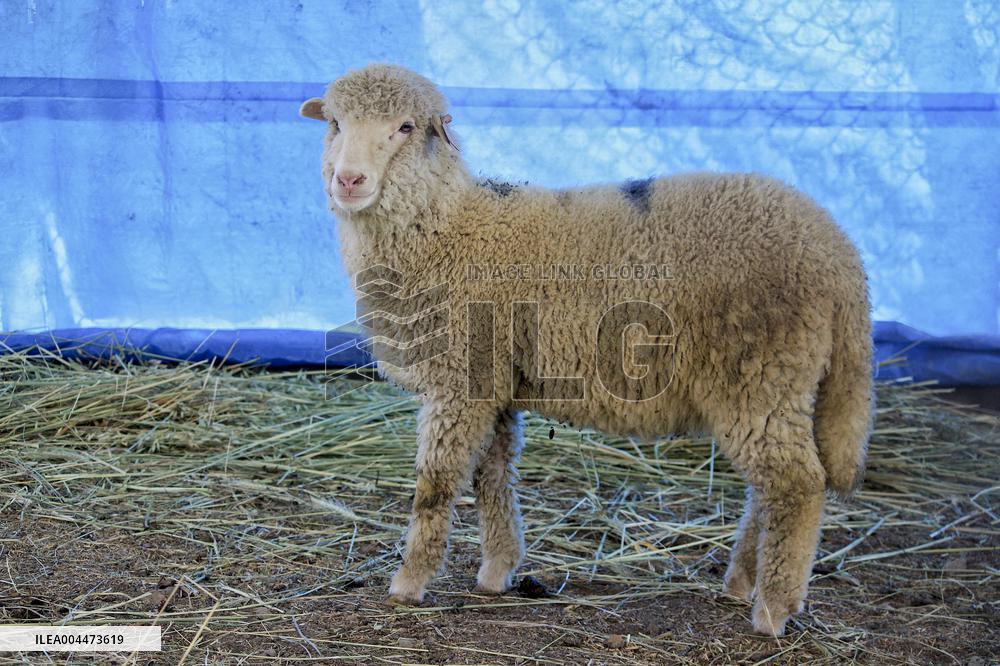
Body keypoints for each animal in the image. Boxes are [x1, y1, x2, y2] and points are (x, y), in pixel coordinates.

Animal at [299, 63, 874, 637]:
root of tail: (839, 252)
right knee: (768, 487)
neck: (448, 229)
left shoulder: (459, 379)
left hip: (761, 370)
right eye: (334, 123)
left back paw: (774, 609)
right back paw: (740, 581)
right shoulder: (494, 384)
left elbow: (436, 485)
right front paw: (498, 570)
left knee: (799, 485)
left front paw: (408, 583)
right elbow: (493, 476)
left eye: (405, 128)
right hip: (770, 383)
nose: (348, 181)